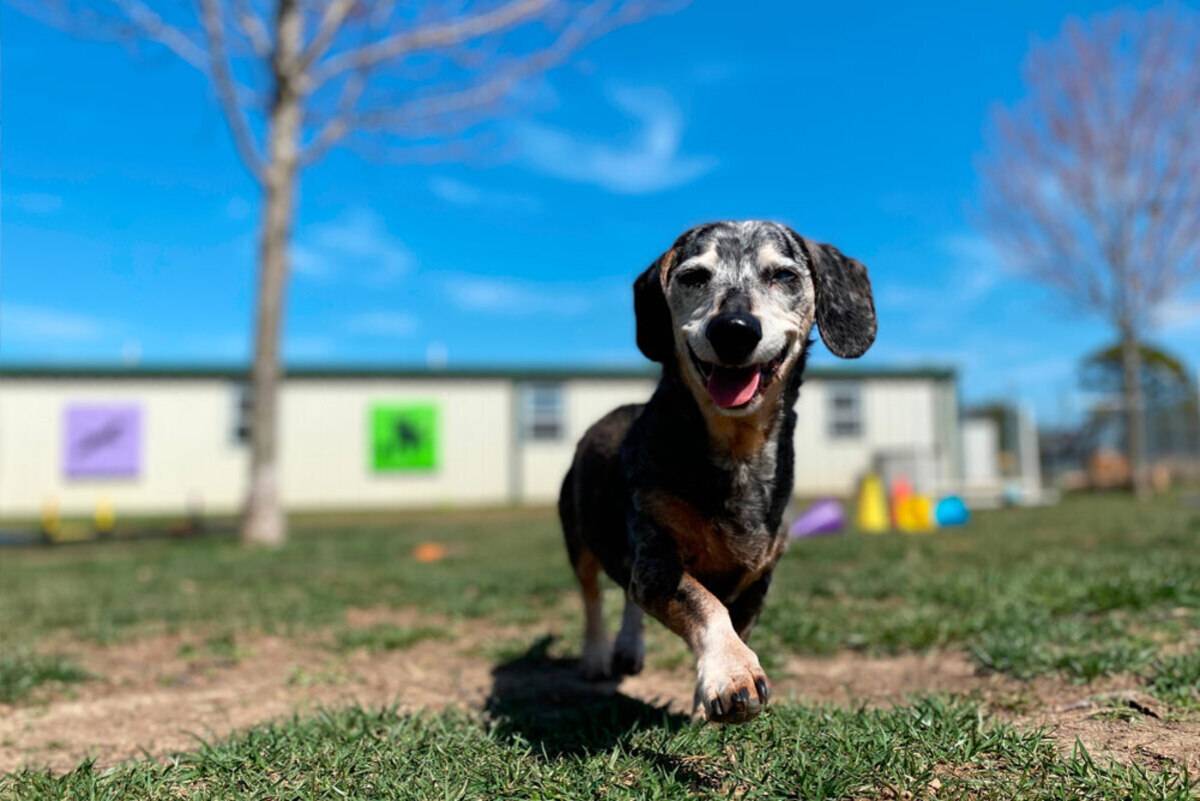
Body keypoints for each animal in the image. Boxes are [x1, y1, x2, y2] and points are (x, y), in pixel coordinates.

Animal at [556, 220, 878, 724]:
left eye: (783, 275)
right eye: (693, 276)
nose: (734, 329)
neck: (736, 451)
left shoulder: (757, 577)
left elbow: (733, 623)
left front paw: (704, 703)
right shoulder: (656, 561)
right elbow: (703, 603)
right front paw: (732, 673)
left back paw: (628, 648)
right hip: (578, 536)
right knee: (592, 597)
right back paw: (595, 657)